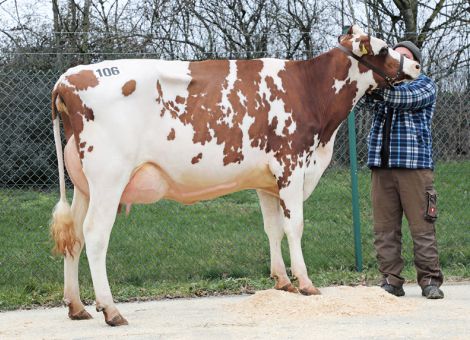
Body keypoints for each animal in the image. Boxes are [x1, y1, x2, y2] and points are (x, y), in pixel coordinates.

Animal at [49, 25, 420, 326]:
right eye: (383, 49)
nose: (416, 65)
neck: (309, 90)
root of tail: (68, 77)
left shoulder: (267, 181)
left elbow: (272, 228)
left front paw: (282, 282)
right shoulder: (291, 166)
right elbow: (294, 226)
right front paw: (305, 283)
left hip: (84, 186)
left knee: (74, 237)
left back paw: (77, 306)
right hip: (109, 179)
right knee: (95, 235)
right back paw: (110, 310)